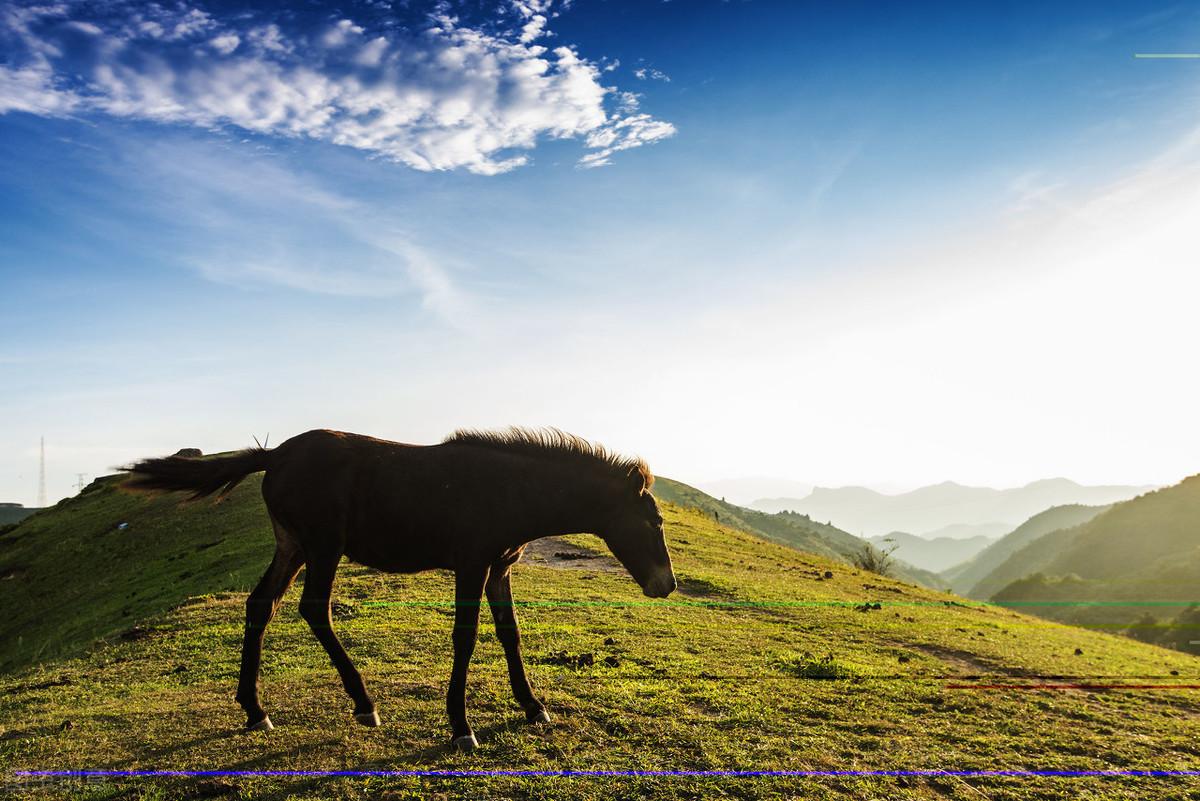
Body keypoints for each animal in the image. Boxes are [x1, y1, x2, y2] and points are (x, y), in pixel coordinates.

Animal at [129, 429, 686, 748]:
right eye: (653, 521)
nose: (667, 585)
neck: (511, 490)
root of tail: (277, 456)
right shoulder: (471, 564)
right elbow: (466, 637)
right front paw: (461, 726)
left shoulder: (500, 569)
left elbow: (510, 634)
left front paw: (532, 707)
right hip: (323, 545)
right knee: (314, 609)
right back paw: (363, 704)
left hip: (293, 545)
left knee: (260, 606)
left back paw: (255, 710)